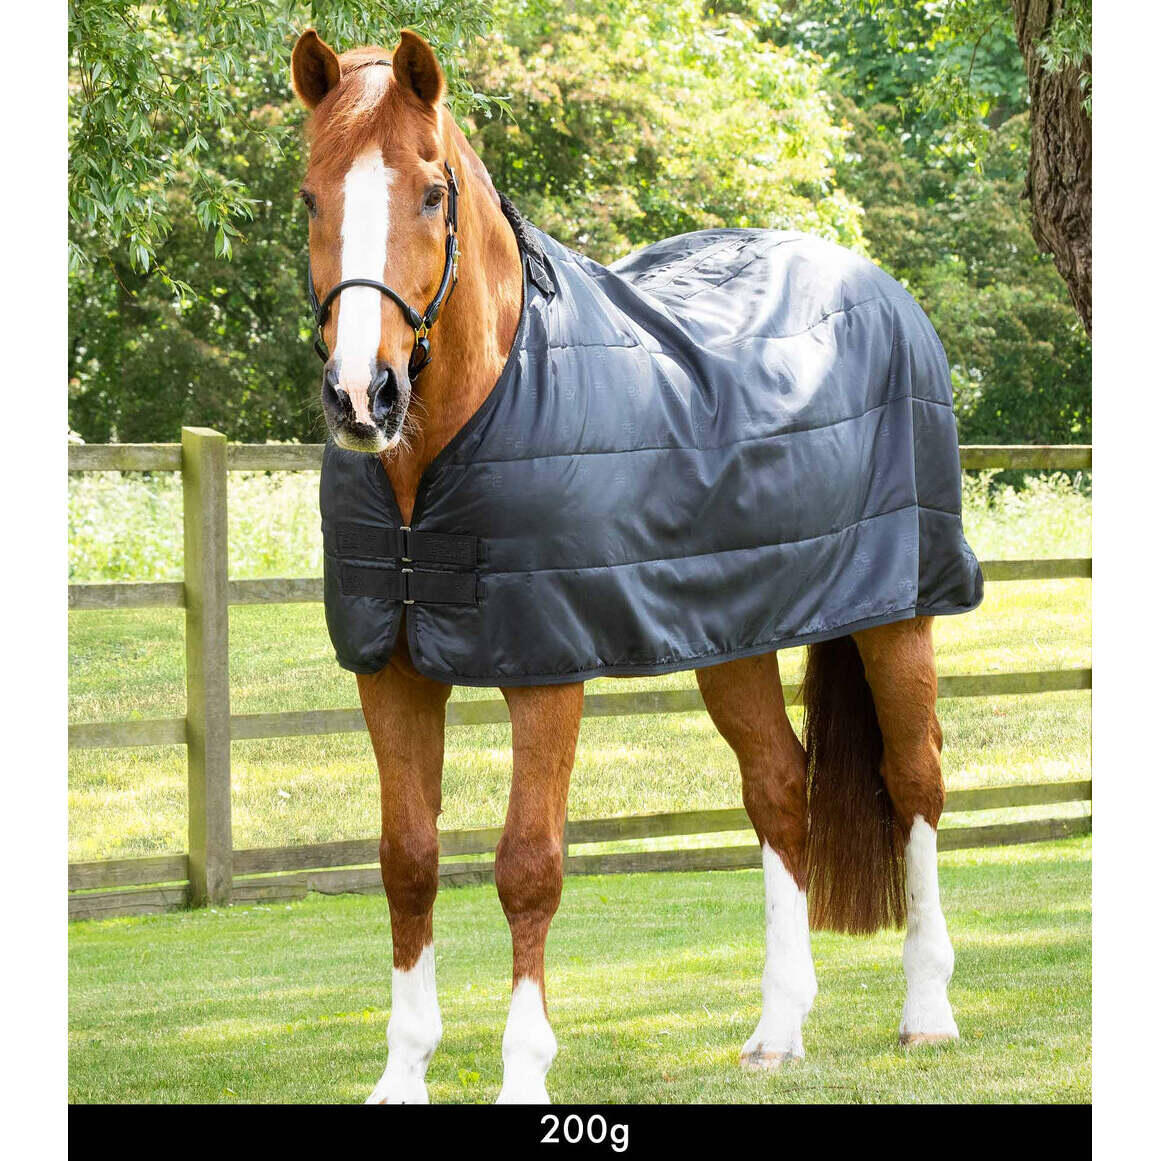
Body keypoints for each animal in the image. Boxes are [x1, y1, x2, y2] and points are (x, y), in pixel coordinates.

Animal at [290, 28, 969, 1104]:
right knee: (779, 789)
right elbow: (407, 861)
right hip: (732, 633)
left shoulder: (546, 671)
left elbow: (527, 865)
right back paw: (778, 1027)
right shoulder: (389, 670)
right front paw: (401, 1074)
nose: (364, 395)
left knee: (914, 781)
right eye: (313, 198)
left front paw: (525, 1073)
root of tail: (881, 289)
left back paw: (927, 1011)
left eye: (432, 193)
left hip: (896, 614)